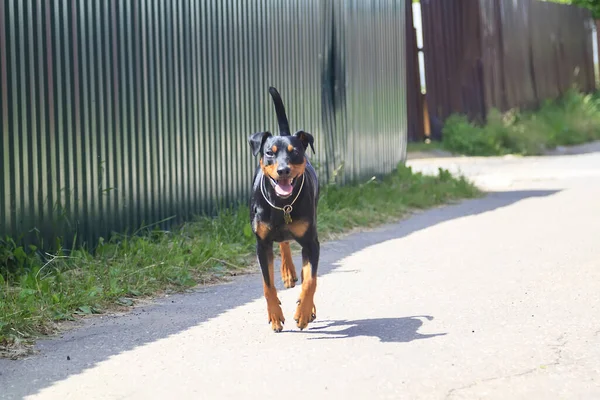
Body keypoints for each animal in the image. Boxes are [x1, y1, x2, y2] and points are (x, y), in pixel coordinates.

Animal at [247, 86, 318, 332]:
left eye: (294, 151)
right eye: (270, 152)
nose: (284, 170)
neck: (282, 204)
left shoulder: (311, 242)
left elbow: (311, 281)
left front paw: (304, 312)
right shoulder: (261, 244)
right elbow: (267, 285)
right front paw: (275, 316)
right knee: (283, 242)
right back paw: (287, 271)